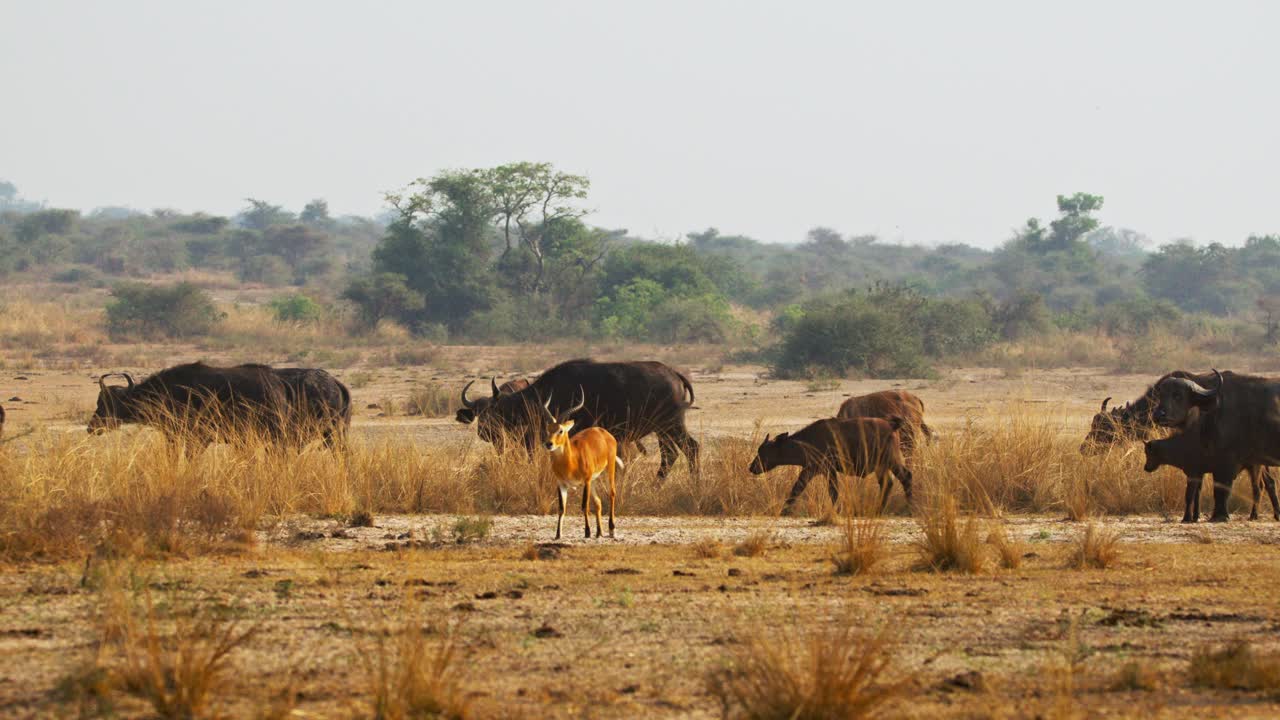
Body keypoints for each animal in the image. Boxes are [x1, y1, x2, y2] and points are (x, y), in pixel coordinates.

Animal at [468, 359, 697, 479]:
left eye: (496, 409)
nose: (485, 432)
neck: (550, 390)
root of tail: (674, 374)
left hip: (672, 424)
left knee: (690, 448)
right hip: (663, 429)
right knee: (671, 454)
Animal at [749, 416, 912, 514]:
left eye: (763, 451)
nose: (751, 467)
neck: (807, 442)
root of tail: (891, 425)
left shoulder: (825, 470)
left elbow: (830, 492)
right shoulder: (812, 470)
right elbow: (798, 488)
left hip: (891, 460)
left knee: (906, 477)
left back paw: (909, 507)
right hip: (881, 467)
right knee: (887, 484)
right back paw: (878, 509)